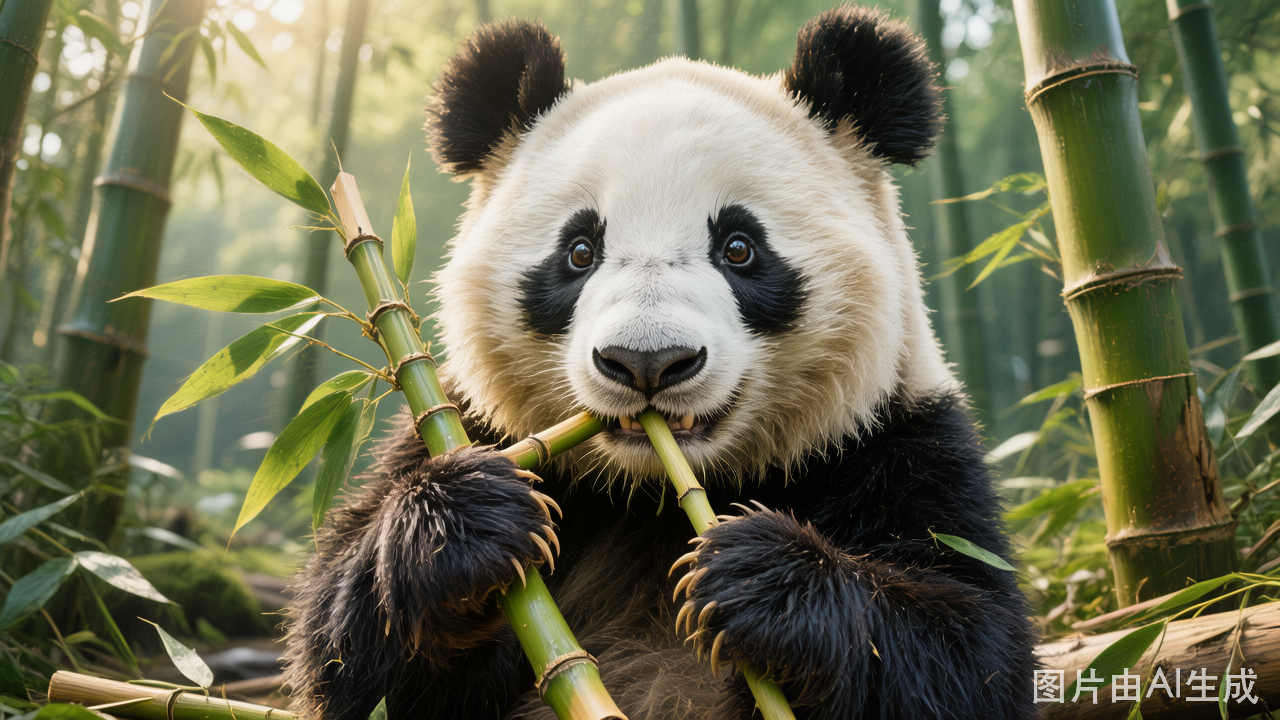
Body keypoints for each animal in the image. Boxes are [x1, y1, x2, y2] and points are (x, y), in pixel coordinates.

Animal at [283, 6, 1038, 720]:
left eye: (739, 248)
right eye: (579, 251)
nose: (647, 362)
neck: (653, 497)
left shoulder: (896, 442)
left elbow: (972, 649)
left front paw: (758, 576)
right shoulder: (473, 425)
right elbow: (348, 658)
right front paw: (463, 524)